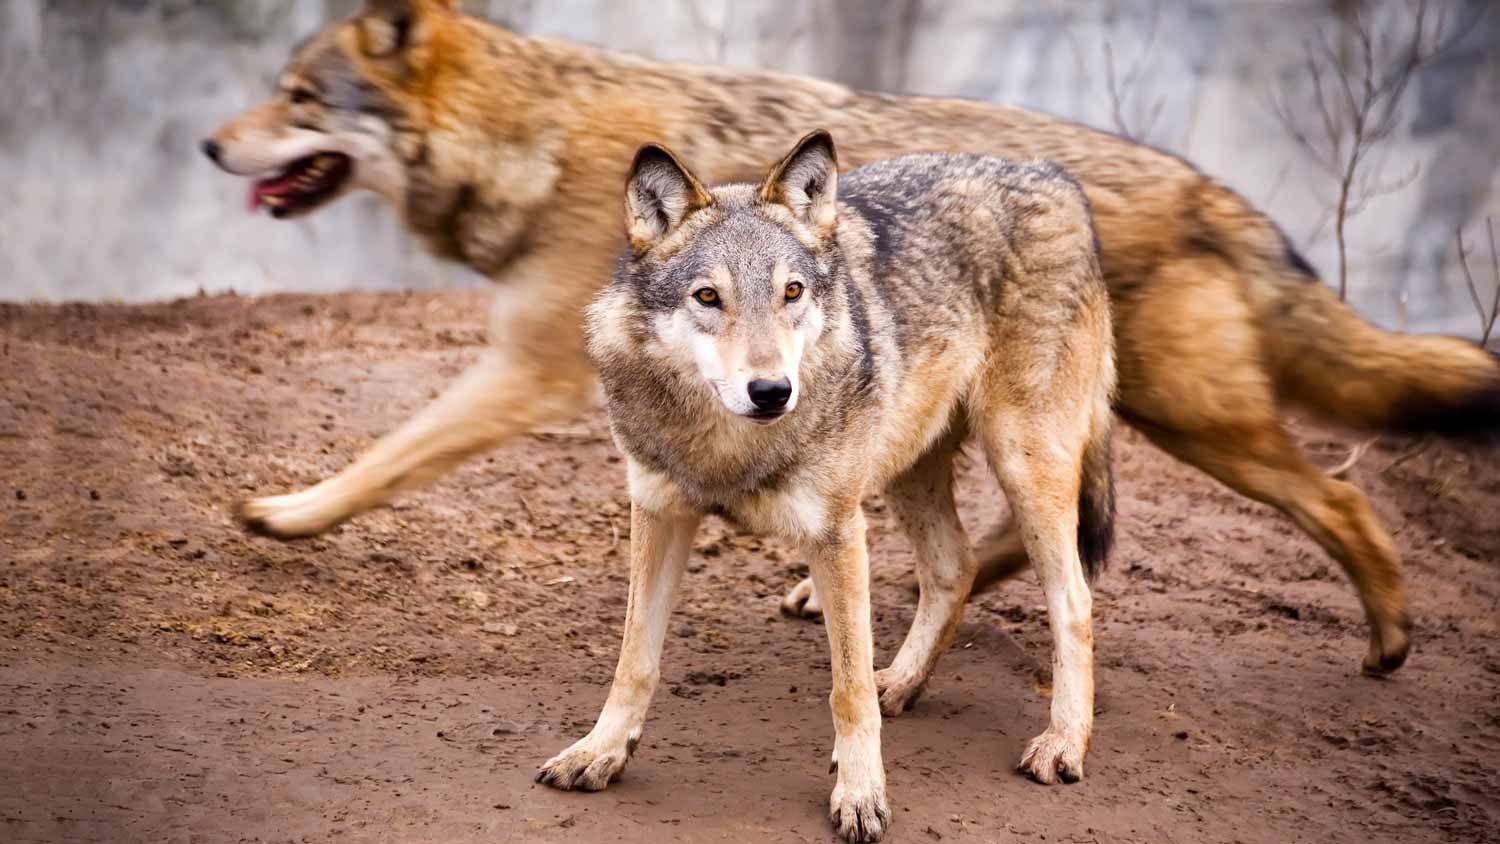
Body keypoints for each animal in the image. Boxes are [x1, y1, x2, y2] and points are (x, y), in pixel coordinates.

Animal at [202, 0, 1500, 683]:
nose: (213, 145)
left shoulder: (524, 370)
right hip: (1059, 424)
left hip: (1178, 421)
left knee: (1335, 500)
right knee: (1039, 542)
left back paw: (1390, 642)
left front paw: (288, 514)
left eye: (299, 98)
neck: (540, 135)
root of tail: (1214, 190)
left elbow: (388, 456)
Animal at [538, 130, 1115, 841]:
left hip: (1022, 463)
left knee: (1075, 601)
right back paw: (903, 682)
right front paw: (599, 751)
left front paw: (860, 793)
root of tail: (1054, 177)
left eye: (791, 292)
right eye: (708, 297)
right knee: (955, 566)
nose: (772, 390)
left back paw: (1062, 744)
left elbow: (847, 689)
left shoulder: (837, 532)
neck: (727, 444)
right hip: (910, 468)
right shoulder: (659, 511)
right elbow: (634, 660)